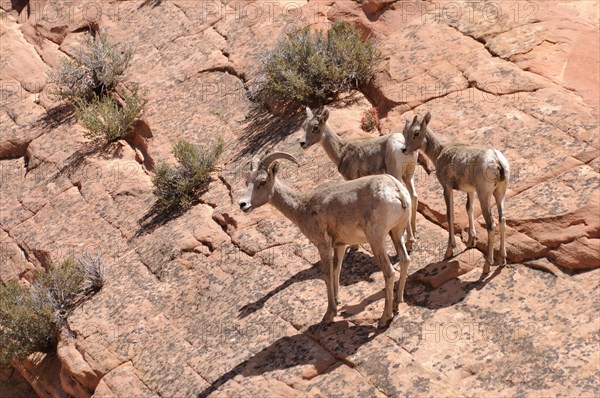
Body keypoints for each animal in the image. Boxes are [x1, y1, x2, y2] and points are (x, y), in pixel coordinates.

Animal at [239, 152, 412, 326]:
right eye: (247, 182)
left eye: (262, 182)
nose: (243, 204)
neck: (301, 206)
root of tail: (397, 191)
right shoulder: (340, 245)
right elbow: (337, 270)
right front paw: (337, 301)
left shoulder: (323, 245)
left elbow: (327, 275)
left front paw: (329, 314)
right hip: (396, 232)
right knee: (405, 260)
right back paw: (397, 303)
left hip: (376, 239)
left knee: (389, 272)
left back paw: (384, 318)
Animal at [300, 106, 422, 252]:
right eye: (303, 126)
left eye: (315, 127)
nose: (302, 143)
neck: (341, 151)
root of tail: (402, 145)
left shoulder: (351, 178)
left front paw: (354, 247)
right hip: (408, 175)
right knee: (413, 196)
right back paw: (413, 234)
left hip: (396, 174)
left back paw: (409, 242)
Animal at [400, 112, 508, 274]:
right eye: (404, 132)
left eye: (416, 133)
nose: (404, 150)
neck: (439, 152)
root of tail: (497, 161)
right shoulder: (470, 191)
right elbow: (469, 209)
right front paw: (471, 241)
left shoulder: (447, 187)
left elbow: (450, 214)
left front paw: (449, 250)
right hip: (499, 193)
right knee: (502, 220)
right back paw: (502, 259)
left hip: (485, 195)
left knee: (491, 225)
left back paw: (487, 265)